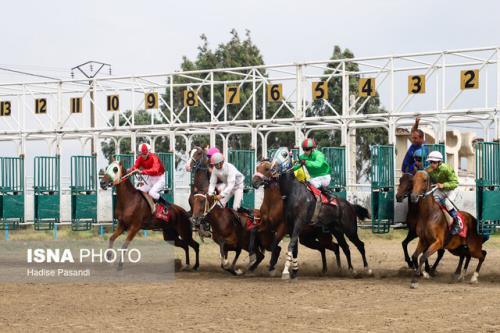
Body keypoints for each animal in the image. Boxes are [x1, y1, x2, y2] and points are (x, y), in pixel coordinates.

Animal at [270, 147, 372, 278]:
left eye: (284, 154)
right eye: (273, 154)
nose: (272, 170)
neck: (293, 192)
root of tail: (350, 205)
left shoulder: (299, 223)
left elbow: (291, 245)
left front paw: (286, 271)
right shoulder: (290, 225)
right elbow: (294, 249)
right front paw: (295, 271)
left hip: (350, 229)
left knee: (360, 245)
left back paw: (367, 269)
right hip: (336, 230)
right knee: (345, 247)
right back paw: (351, 270)